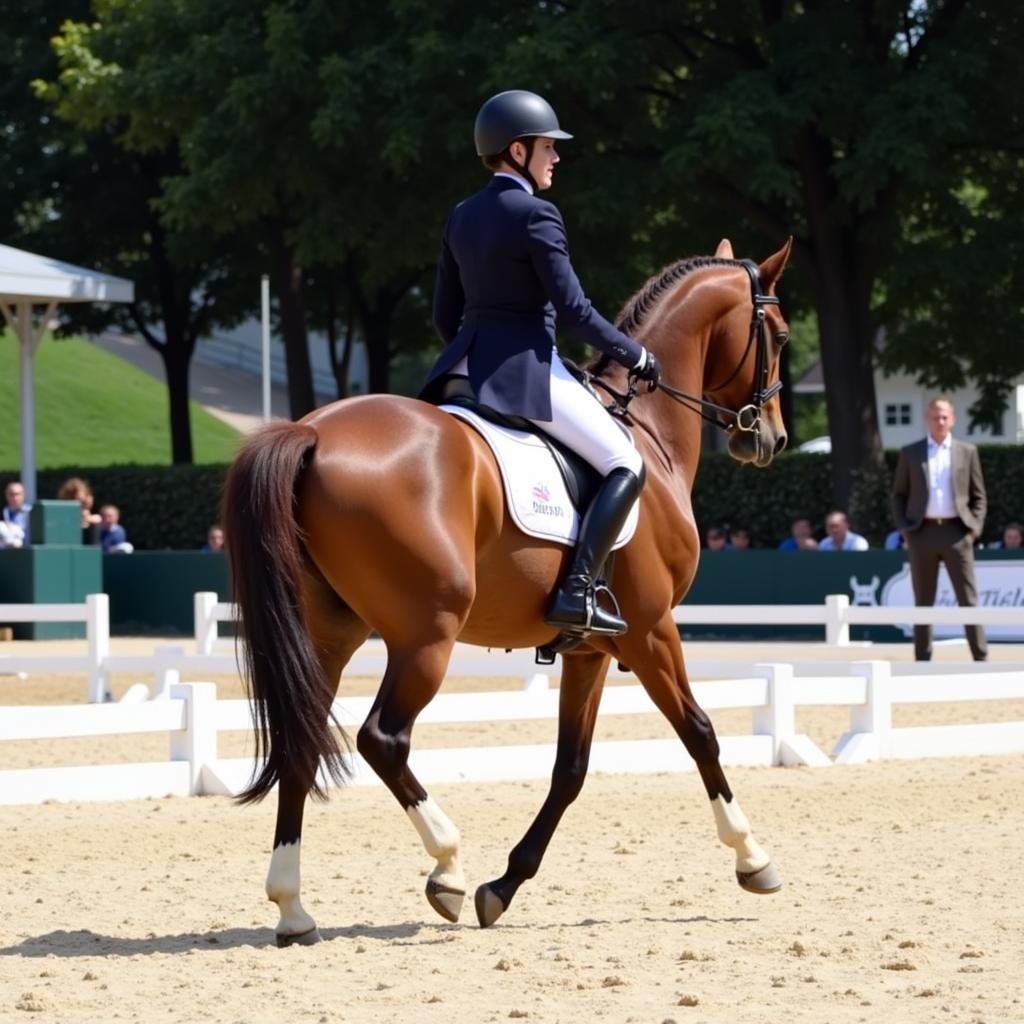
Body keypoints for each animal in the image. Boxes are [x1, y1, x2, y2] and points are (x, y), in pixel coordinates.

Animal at [226, 237, 790, 942]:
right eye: (781, 335)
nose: (770, 438)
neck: (649, 434)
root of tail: (312, 431)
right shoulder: (652, 630)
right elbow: (700, 732)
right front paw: (754, 858)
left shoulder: (589, 647)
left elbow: (570, 768)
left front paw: (505, 886)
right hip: (427, 634)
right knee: (382, 738)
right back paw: (446, 867)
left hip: (331, 633)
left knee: (304, 739)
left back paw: (294, 908)